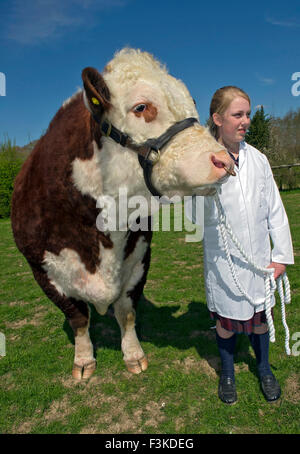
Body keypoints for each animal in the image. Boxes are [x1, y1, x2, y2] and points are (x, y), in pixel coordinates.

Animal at [11, 48, 234, 380]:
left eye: (191, 102)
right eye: (141, 107)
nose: (223, 160)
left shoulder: (139, 258)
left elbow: (126, 312)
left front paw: (133, 355)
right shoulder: (42, 270)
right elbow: (78, 318)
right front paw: (83, 361)